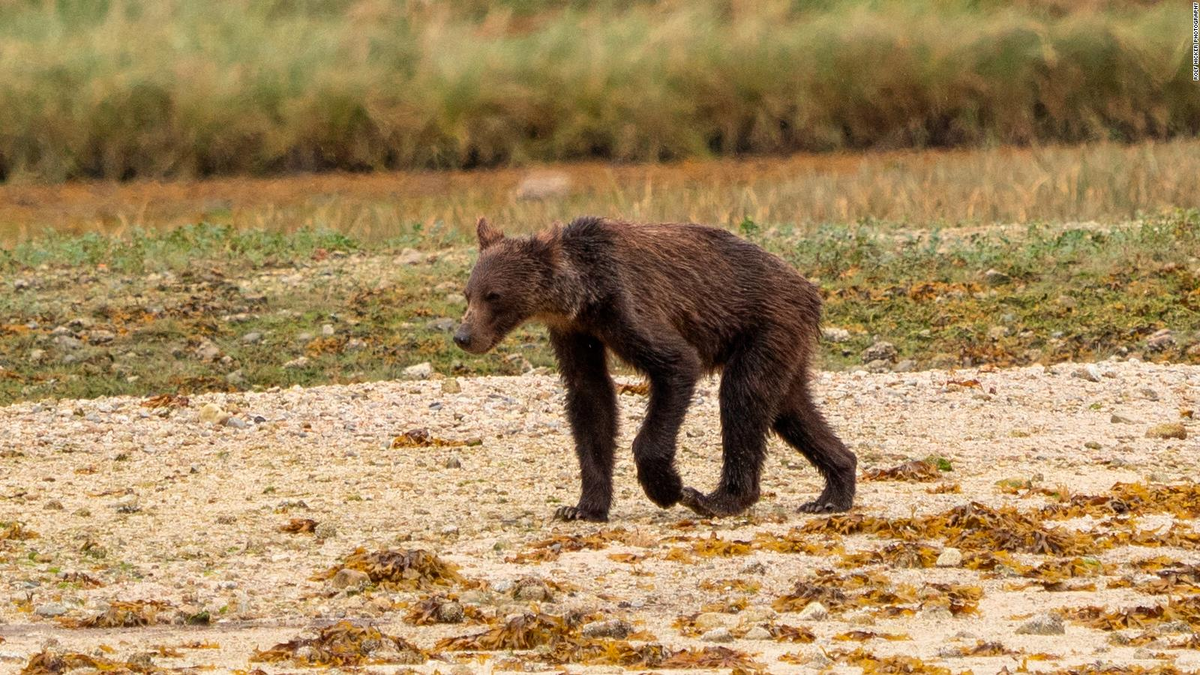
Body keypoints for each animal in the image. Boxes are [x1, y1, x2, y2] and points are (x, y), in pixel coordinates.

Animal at [451, 214, 854, 521]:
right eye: (468, 293)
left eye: (494, 296)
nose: (463, 335)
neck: (583, 295)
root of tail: (809, 288)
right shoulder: (574, 332)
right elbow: (590, 398)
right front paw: (582, 507)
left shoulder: (627, 306)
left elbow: (676, 364)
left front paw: (666, 487)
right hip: (784, 341)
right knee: (789, 407)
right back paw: (834, 489)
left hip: (766, 323)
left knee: (744, 395)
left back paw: (717, 499)